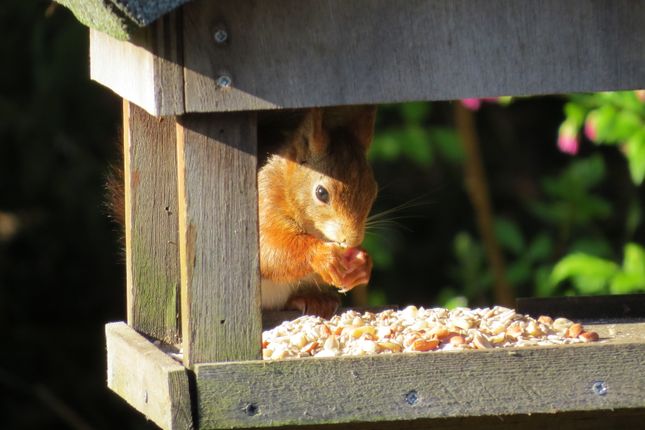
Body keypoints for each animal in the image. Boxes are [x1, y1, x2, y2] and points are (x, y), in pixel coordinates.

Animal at [258, 107, 378, 316]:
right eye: (321, 193)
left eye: (373, 191)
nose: (352, 240)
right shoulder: (265, 202)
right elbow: (269, 248)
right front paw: (324, 256)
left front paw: (362, 265)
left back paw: (313, 299)